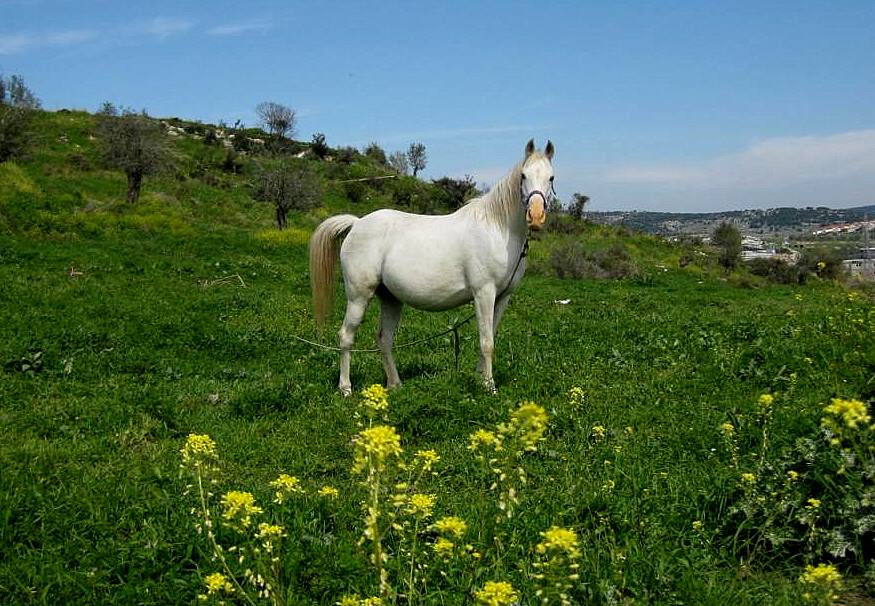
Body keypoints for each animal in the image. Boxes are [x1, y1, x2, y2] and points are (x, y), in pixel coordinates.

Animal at [310, 138, 556, 396]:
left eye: (551, 178)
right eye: (523, 175)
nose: (536, 216)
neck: (497, 229)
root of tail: (357, 223)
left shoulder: (502, 297)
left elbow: (489, 337)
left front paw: (481, 379)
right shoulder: (484, 293)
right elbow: (486, 342)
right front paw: (490, 388)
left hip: (390, 299)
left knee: (384, 339)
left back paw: (395, 384)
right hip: (358, 297)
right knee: (346, 336)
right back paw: (346, 388)